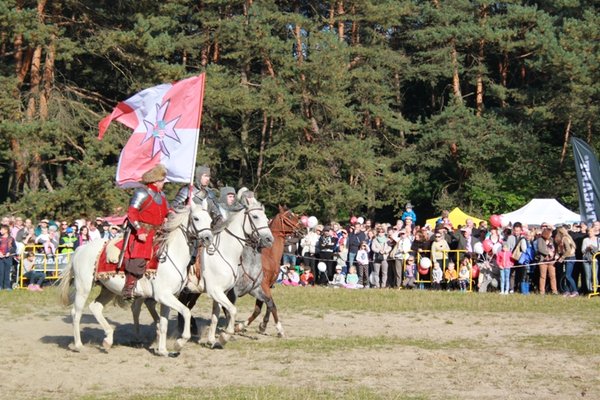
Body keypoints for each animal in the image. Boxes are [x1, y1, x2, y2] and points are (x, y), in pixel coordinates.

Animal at [59, 200, 212, 356]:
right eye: (196, 218)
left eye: (210, 220)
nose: (208, 238)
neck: (171, 256)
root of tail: (79, 250)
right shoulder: (164, 296)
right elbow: (186, 312)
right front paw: (179, 343)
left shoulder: (169, 297)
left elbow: (164, 323)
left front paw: (163, 350)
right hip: (83, 287)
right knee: (76, 313)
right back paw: (78, 345)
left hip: (108, 289)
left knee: (95, 307)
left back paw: (108, 339)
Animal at [231, 205, 304, 336]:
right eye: (289, 216)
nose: (304, 229)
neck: (269, 256)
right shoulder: (263, 285)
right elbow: (271, 305)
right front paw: (279, 328)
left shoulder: (265, 286)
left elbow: (260, 308)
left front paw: (260, 325)